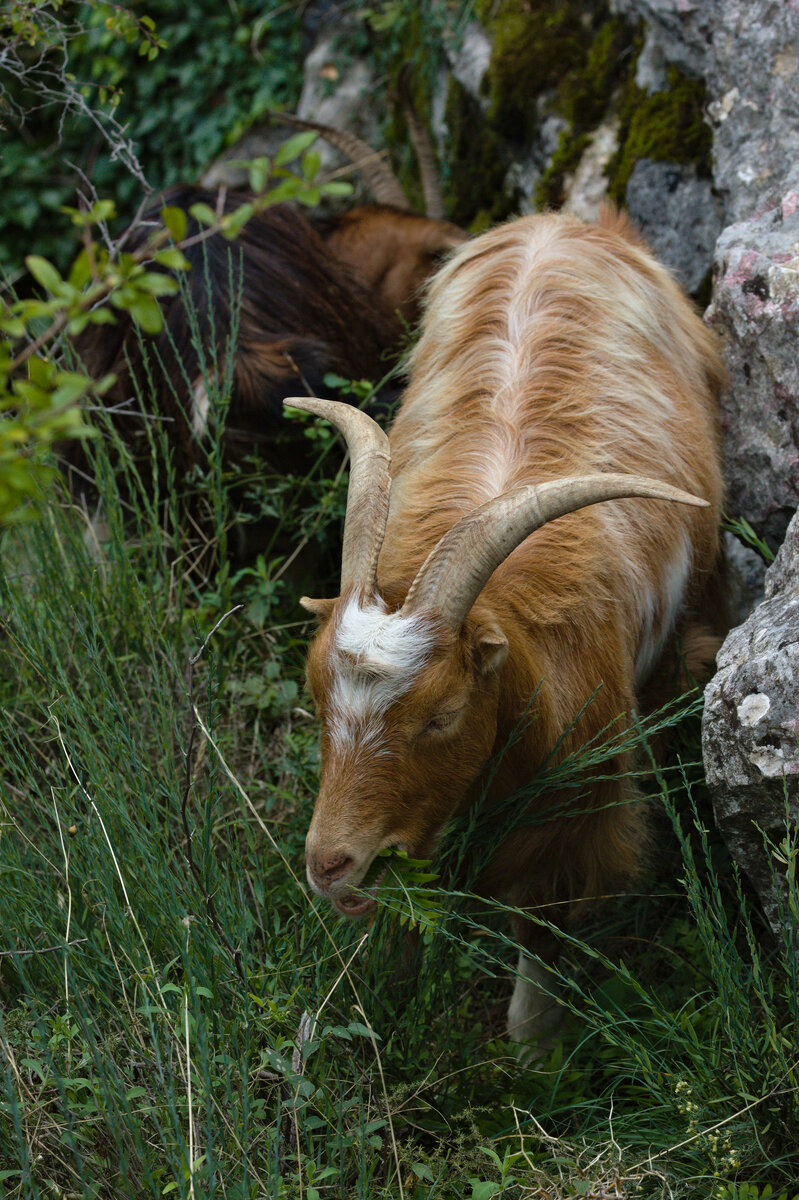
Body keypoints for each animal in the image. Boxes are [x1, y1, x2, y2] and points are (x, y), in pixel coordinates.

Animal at [284, 206, 719, 1051]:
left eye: (443, 716)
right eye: (316, 700)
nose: (329, 865)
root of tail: (565, 222)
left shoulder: (577, 808)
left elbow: (541, 928)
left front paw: (532, 1050)